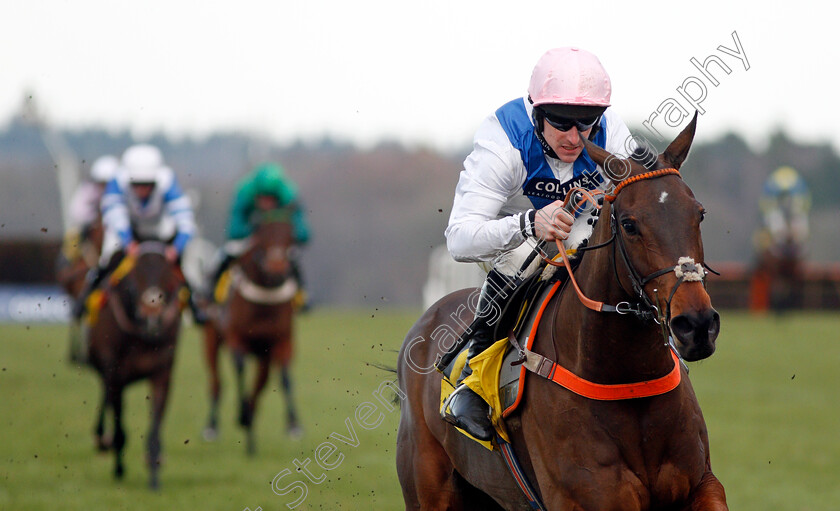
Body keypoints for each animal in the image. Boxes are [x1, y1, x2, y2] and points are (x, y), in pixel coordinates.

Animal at [88, 242, 185, 490]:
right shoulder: (115, 374)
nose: (153, 313)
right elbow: (119, 428)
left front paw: (154, 475)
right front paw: (119, 469)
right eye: (135, 275)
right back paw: (102, 440)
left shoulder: (162, 373)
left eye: (169, 275)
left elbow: (155, 428)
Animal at [203, 214, 302, 454]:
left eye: (290, 235)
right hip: (211, 338)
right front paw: (242, 415)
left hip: (263, 354)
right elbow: (239, 369)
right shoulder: (236, 339)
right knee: (216, 382)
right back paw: (212, 427)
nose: (277, 266)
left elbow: (283, 378)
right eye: (262, 233)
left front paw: (292, 426)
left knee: (260, 384)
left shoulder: (281, 341)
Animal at [396, 116, 728, 511]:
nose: (697, 325)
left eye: (699, 214)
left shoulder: (702, 485)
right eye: (629, 224)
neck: (626, 382)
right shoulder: (585, 499)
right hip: (429, 491)